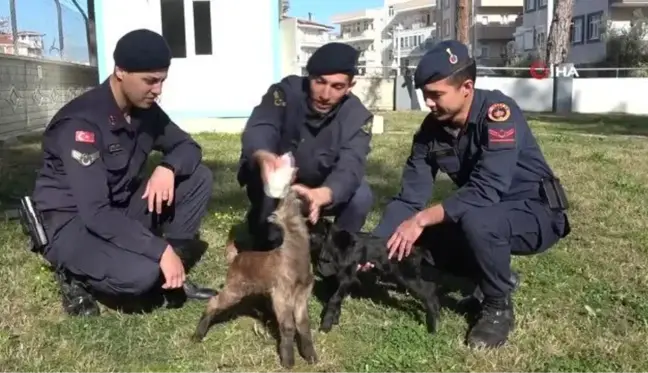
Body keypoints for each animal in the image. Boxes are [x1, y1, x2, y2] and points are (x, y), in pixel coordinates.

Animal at [191, 189, 318, 370]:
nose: (293, 190)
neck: (294, 256)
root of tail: (235, 259)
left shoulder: (302, 295)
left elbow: (303, 324)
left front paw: (311, 356)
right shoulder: (281, 294)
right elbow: (288, 326)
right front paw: (288, 361)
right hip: (234, 288)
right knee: (214, 302)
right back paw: (198, 335)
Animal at [308, 221, 440, 334]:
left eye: (313, 234)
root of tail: (416, 249)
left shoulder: (347, 277)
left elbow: (334, 298)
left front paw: (326, 325)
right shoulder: (339, 279)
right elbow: (336, 297)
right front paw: (335, 320)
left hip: (407, 276)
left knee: (428, 292)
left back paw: (432, 326)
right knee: (430, 288)